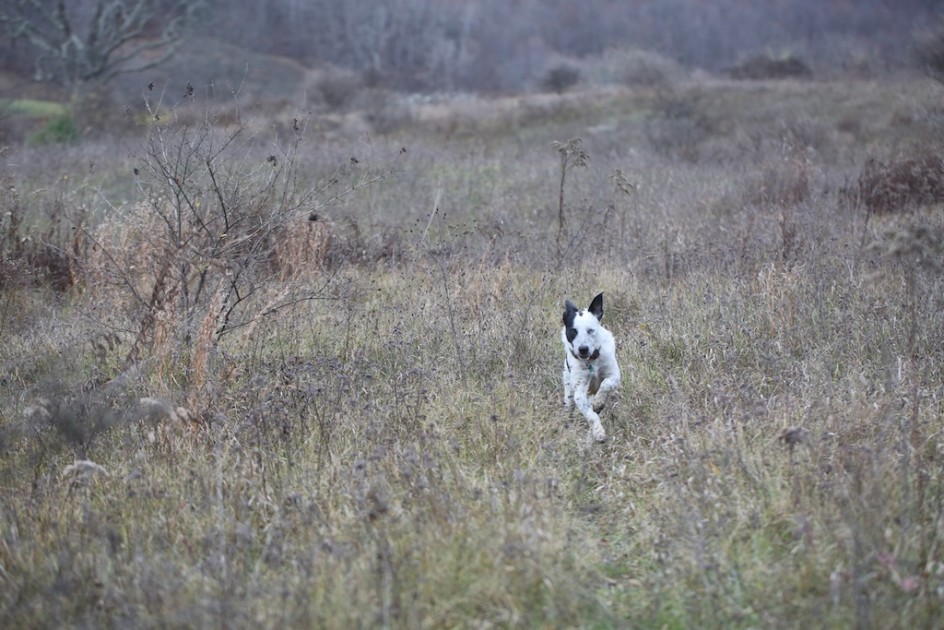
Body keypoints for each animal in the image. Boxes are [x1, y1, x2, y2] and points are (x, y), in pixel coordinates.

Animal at [560, 294, 620, 442]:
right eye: (573, 331)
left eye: (591, 330)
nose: (583, 349)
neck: (591, 361)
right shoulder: (579, 393)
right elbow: (591, 415)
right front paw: (598, 432)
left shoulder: (614, 376)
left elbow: (606, 384)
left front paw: (599, 402)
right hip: (569, 393)